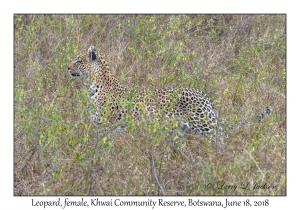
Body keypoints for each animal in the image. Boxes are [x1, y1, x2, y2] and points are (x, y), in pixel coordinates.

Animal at [68, 46, 218, 135]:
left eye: (78, 60)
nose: (67, 67)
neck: (94, 84)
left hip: (206, 126)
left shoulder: (105, 125)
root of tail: (204, 95)